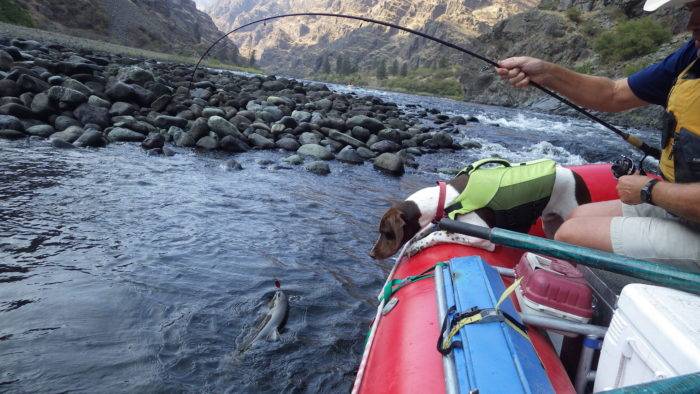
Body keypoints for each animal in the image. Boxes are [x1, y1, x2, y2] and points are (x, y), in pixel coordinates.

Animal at [372, 165, 592, 258]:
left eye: (387, 233)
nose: (371, 255)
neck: (446, 197)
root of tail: (577, 176)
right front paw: (414, 241)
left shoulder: (480, 236)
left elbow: (440, 233)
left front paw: (417, 245)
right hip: (551, 226)